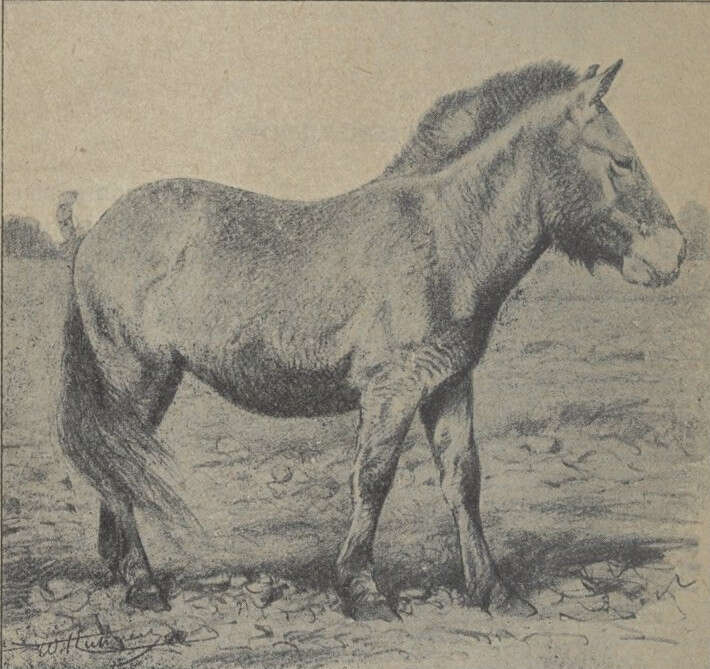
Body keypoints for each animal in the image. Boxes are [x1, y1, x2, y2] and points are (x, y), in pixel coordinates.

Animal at [58, 60, 688, 620]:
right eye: (622, 160)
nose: (676, 253)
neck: (446, 235)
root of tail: (95, 232)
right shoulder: (392, 390)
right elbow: (373, 479)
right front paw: (361, 591)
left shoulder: (449, 383)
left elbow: (463, 479)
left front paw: (494, 592)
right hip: (135, 378)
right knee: (119, 463)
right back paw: (142, 585)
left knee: (120, 466)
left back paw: (118, 569)